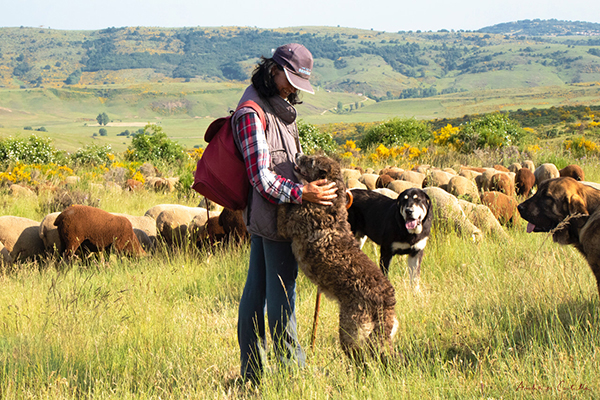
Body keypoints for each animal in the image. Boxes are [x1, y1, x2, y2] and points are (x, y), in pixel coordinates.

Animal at [276, 155, 398, 360]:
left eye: (311, 161)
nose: (298, 155)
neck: (328, 205)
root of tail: (387, 300)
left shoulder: (287, 225)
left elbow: (285, 206)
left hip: (351, 330)